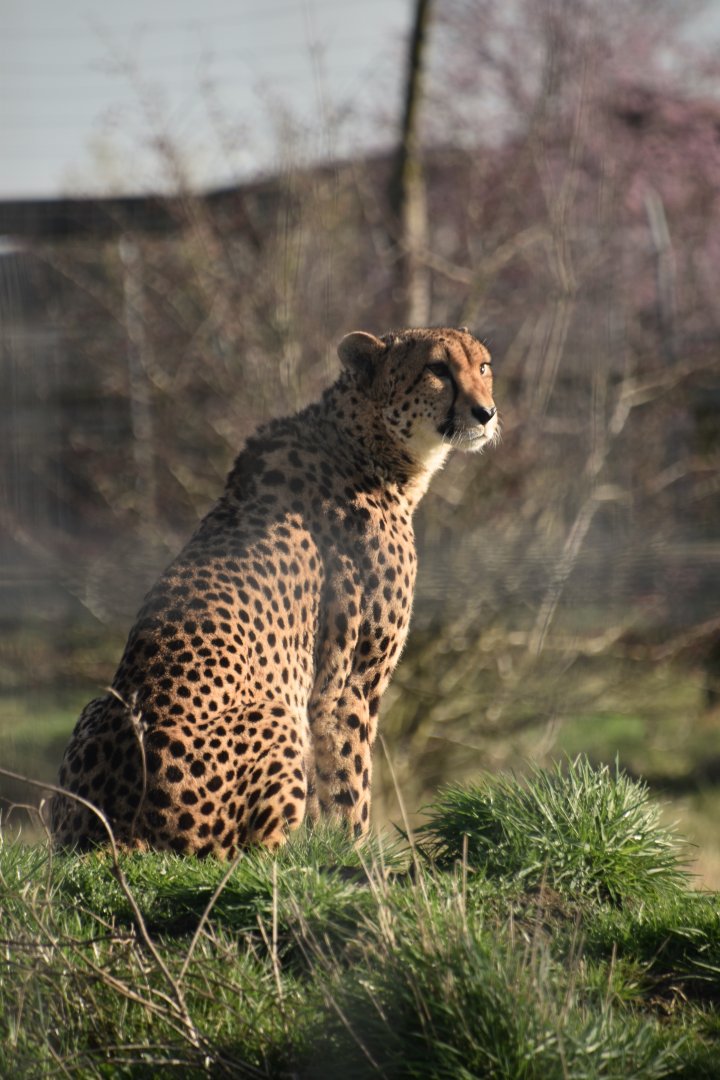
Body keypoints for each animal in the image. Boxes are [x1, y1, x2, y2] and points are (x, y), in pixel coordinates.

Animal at [50, 327, 499, 857]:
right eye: (437, 369)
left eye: (483, 366)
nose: (486, 413)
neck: (367, 442)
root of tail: (119, 834)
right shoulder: (347, 685)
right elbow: (350, 784)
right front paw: (356, 856)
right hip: (275, 715)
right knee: (255, 853)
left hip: (97, 709)